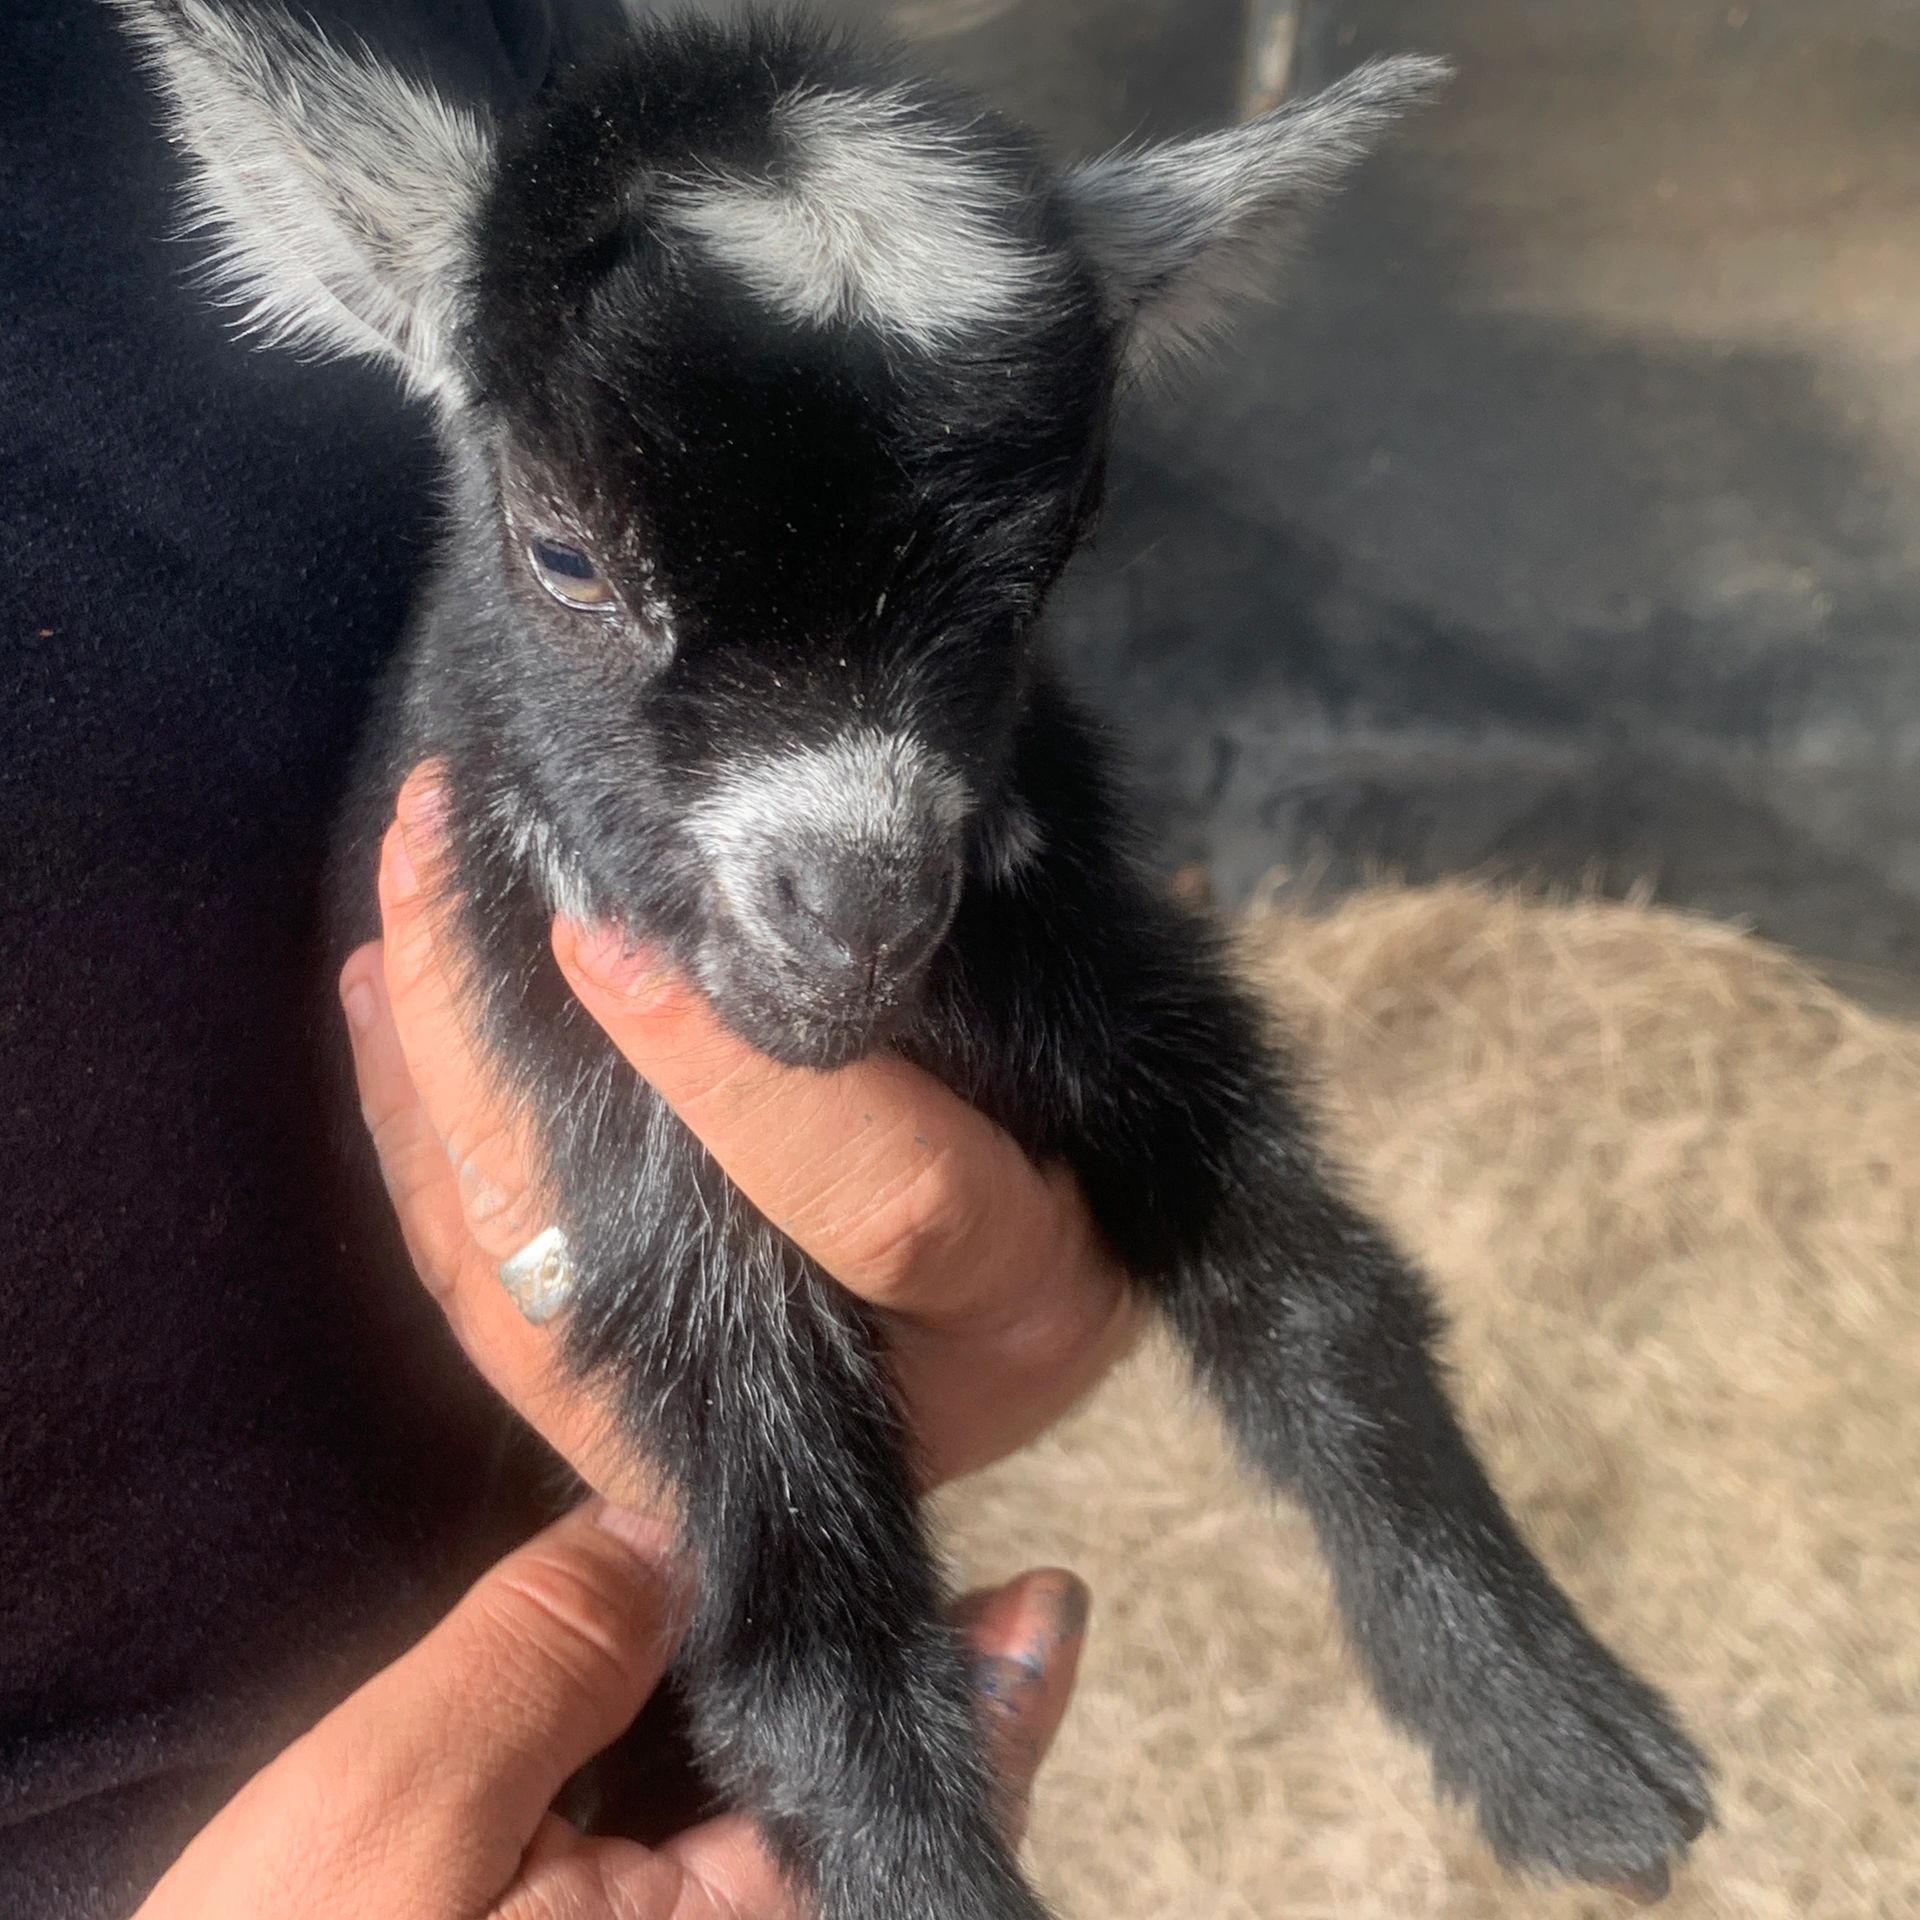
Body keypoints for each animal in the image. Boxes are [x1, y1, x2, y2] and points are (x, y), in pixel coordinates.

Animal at [116, 3, 1711, 1913]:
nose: (860, 902)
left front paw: (1562, 1744)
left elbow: (1324, 1291)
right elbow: (808, 1611)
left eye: (1050, 567)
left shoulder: (1107, 966)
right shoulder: (629, 1131)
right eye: (563, 552)